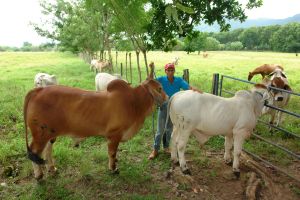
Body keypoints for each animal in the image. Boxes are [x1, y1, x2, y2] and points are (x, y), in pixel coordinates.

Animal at [23, 78, 168, 180]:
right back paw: (39, 176)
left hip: (50, 134)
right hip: (40, 134)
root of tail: (38, 90)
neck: (134, 102)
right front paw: (113, 169)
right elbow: (112, 153)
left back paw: (52, 169)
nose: (167, 99)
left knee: (46, 151)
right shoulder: (114, 135)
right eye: (160, 88)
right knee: (34, 152)